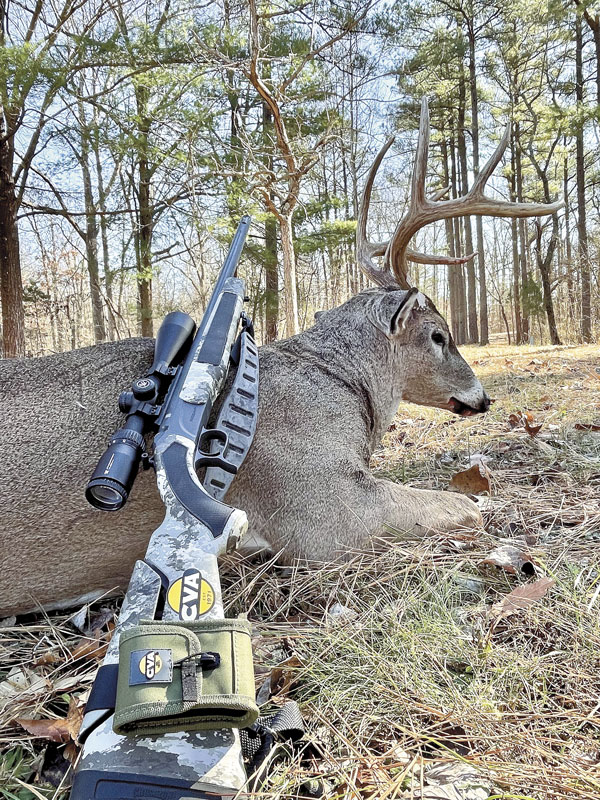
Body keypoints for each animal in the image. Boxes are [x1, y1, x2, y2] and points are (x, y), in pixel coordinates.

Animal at [0, 99, 561, 617]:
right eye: (439, 335)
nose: (483, 397)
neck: (348, 390)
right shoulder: (322, 504)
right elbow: (466, 504)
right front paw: (490, 506)